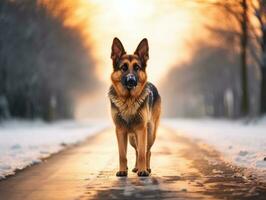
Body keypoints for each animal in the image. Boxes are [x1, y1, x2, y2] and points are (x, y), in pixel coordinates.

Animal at [109, 38, 161, 177]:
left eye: (137, 67)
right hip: (132, 138)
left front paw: (143, 170)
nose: (131, 80)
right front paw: (123, 170)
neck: (128, 100)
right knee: (137, 150)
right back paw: (136, 167)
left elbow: (143, 153)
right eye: (123, 68)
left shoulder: (141, 130)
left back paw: (146, 168)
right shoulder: (120, 131)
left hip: (150, 134)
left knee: (147, 151)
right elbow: (122, 155)